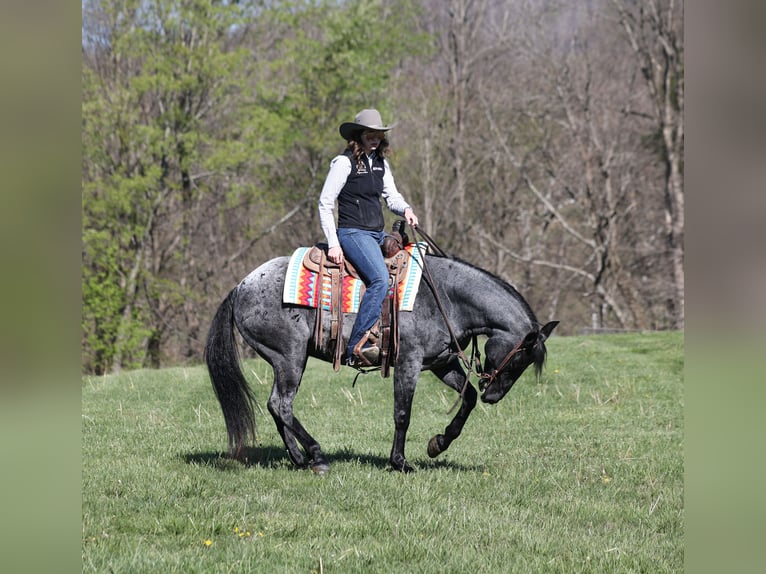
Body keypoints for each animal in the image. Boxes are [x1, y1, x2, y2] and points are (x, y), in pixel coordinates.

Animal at [204, 251, 558, 474]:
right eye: (520, 358)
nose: (493, 396)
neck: (446, 297)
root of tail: (241, 286)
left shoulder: (441, 363)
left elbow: (467, 397)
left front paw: (438, 443)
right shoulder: (409, 363)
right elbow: (403, 414)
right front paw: (400, 462)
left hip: (286, 361)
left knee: (276, 406)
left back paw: (299, 458)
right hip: (290, 357)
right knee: (282, 404)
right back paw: (317, 456)